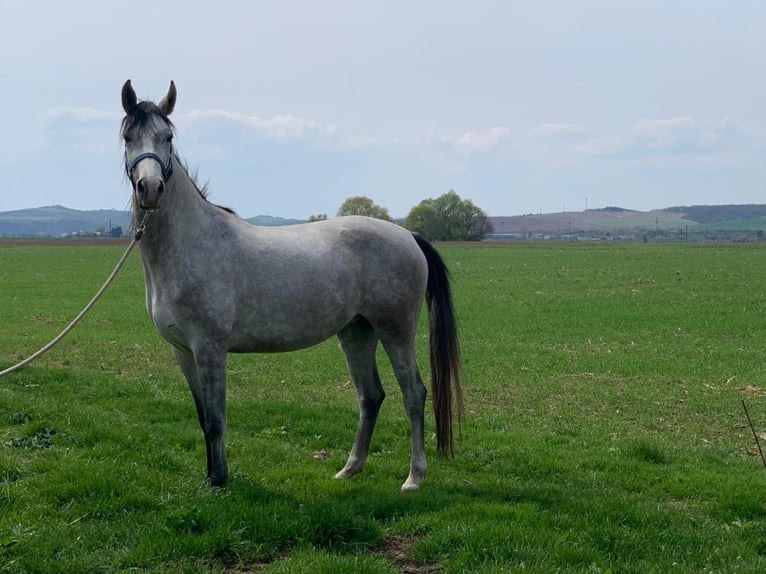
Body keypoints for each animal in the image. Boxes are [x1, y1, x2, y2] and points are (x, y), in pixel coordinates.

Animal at [120, 81, 462, 492]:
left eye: (168, 138)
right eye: (127, 138)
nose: (150, 188)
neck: (191, 242)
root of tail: (408, 235)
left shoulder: (210, 348)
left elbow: (217, 418)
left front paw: (220, 480)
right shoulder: (183, 351)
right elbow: (203, 417)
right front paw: (209, 477)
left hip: (395, 331)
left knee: (413, 394)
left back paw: (414, 477)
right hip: (357, 332)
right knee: (370, 396)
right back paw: (350, 468)